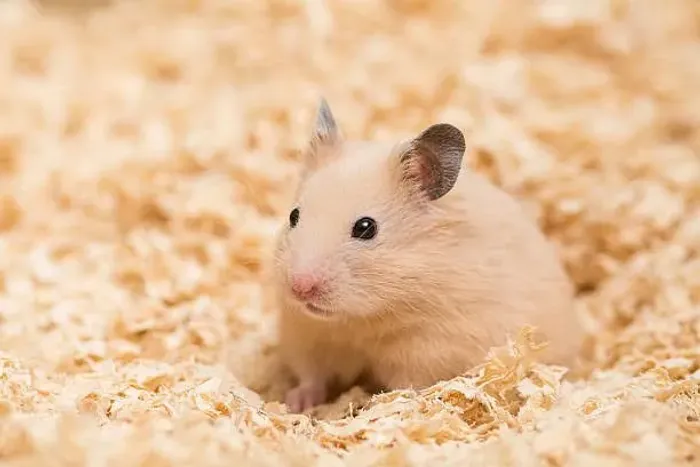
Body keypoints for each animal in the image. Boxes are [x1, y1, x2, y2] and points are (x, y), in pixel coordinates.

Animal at [271, 99, 583, 413]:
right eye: (294, 215)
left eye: (366, 228)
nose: (300, 287)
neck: (361, 319)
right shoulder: (306, 333)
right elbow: (311, 375)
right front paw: (294, 403)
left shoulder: (429, 350)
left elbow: (406, 387)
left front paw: (374, 405)